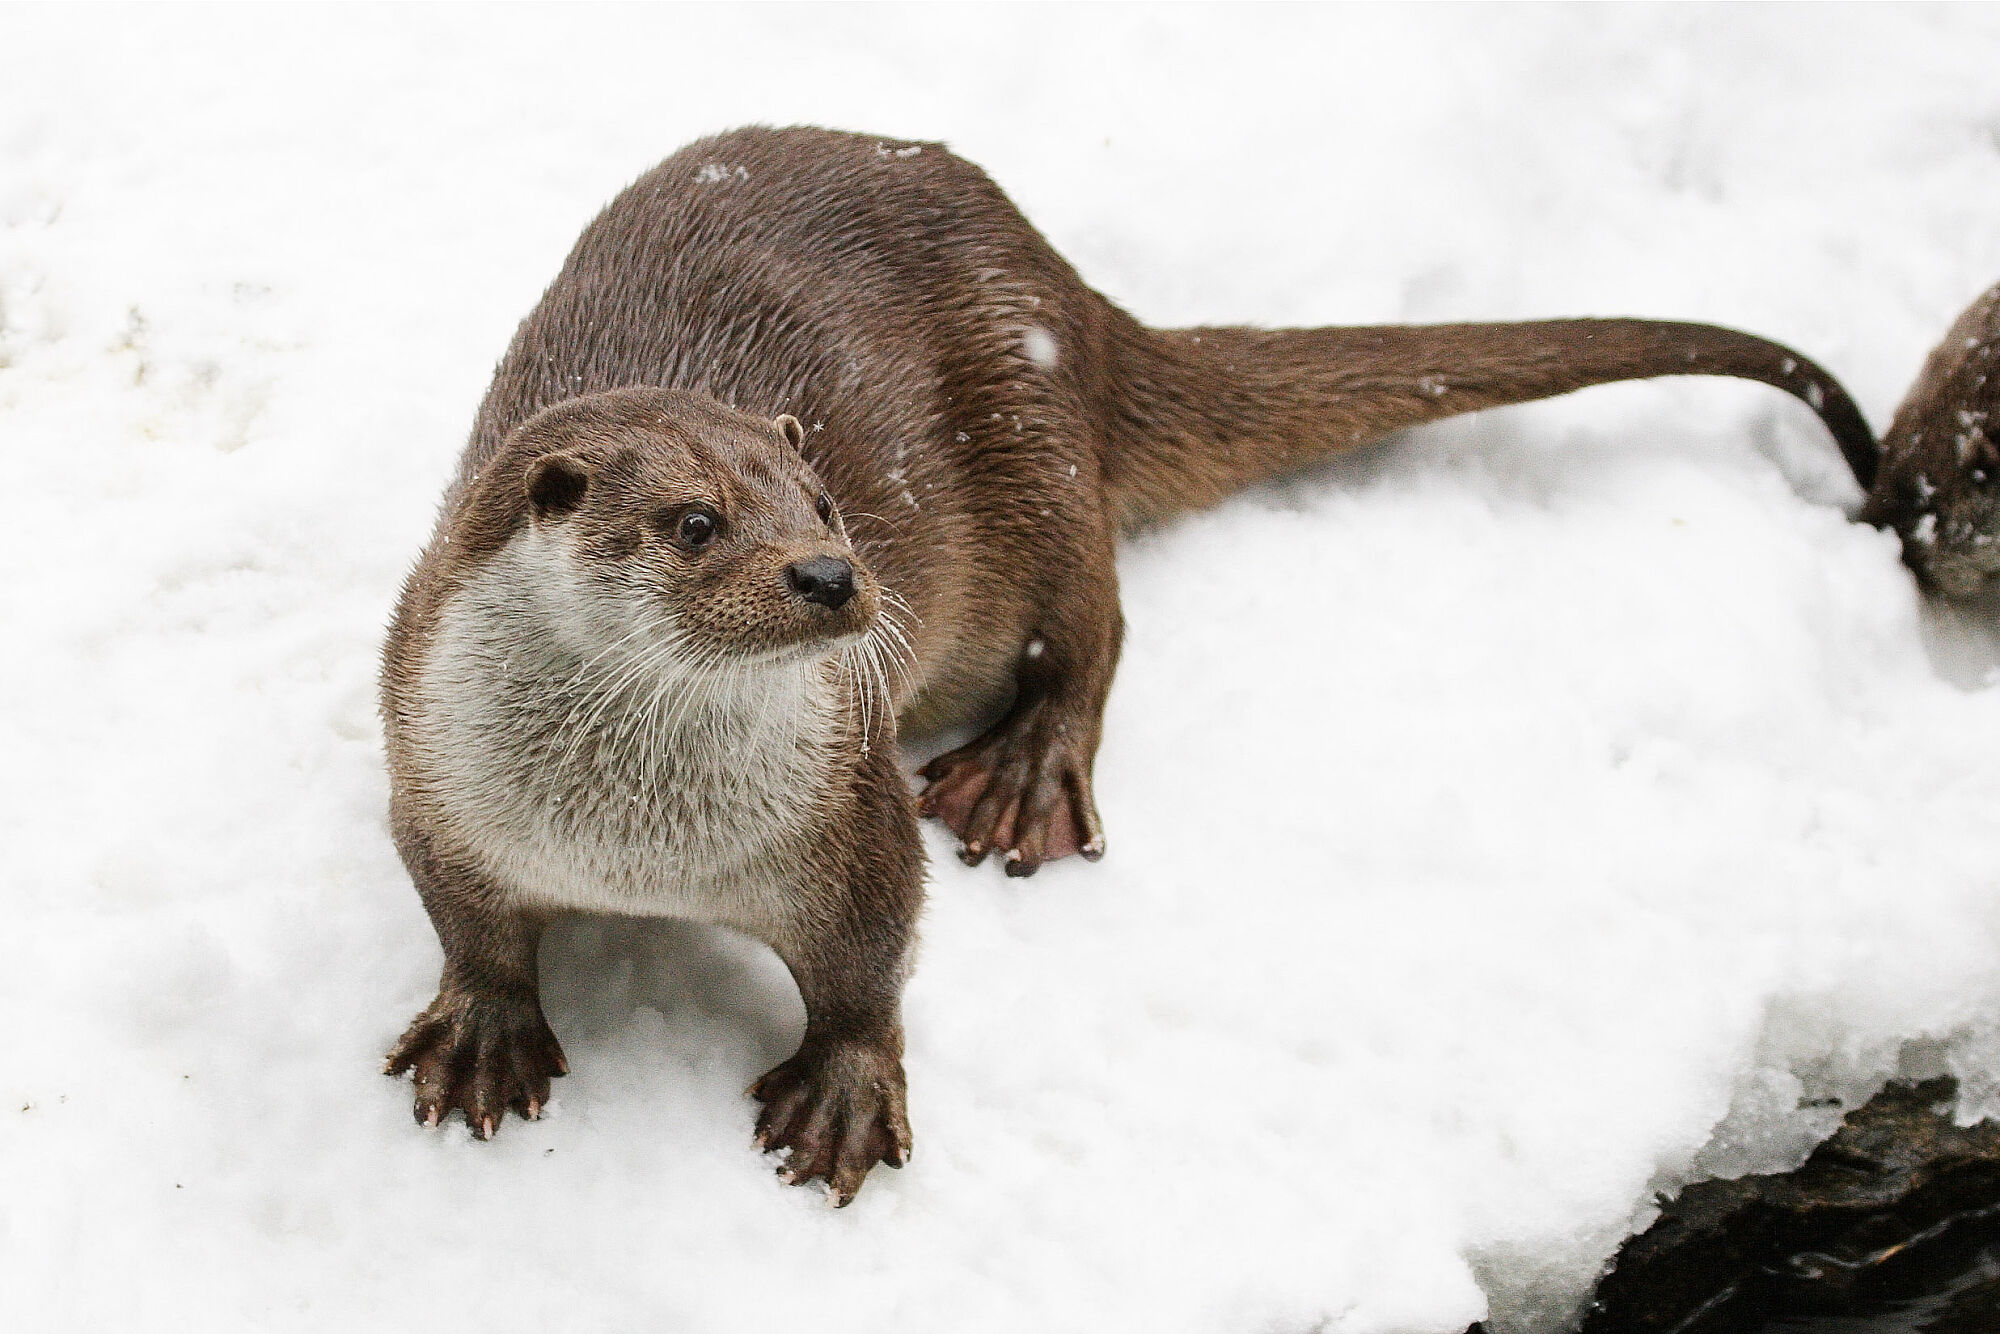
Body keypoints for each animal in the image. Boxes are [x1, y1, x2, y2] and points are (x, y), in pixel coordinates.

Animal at [376, 128, 1872, 1208]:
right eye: (695, 522)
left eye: (824, 503)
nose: (833, 577)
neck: (630, 842)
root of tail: (1066, 287)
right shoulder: (429, 767)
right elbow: (468, 917)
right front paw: (484, 1029)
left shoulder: (846, 811)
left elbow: (871, 955)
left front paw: (841, 1091)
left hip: (1034, 437)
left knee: (1093, 626)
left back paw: (1024, 773)